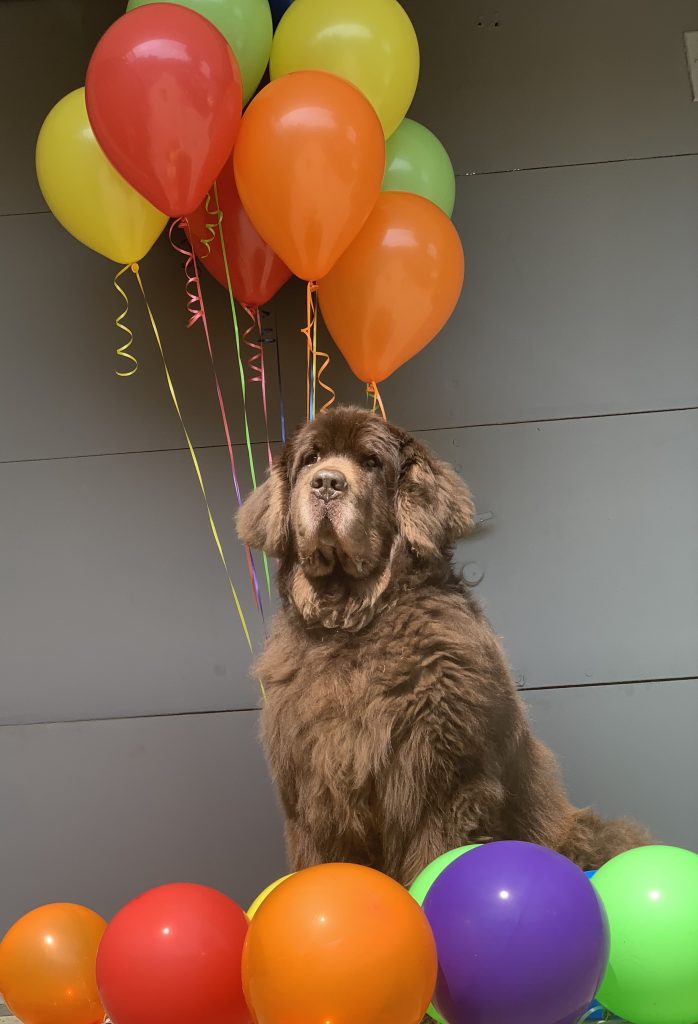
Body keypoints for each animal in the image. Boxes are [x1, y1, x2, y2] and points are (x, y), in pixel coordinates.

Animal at [235, 403, 646, 884]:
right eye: (311, 459)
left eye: (371, 462)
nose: (327, 483)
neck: (352, 625)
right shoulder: (316, 797)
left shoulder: (439, 785)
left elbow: (436, 855)